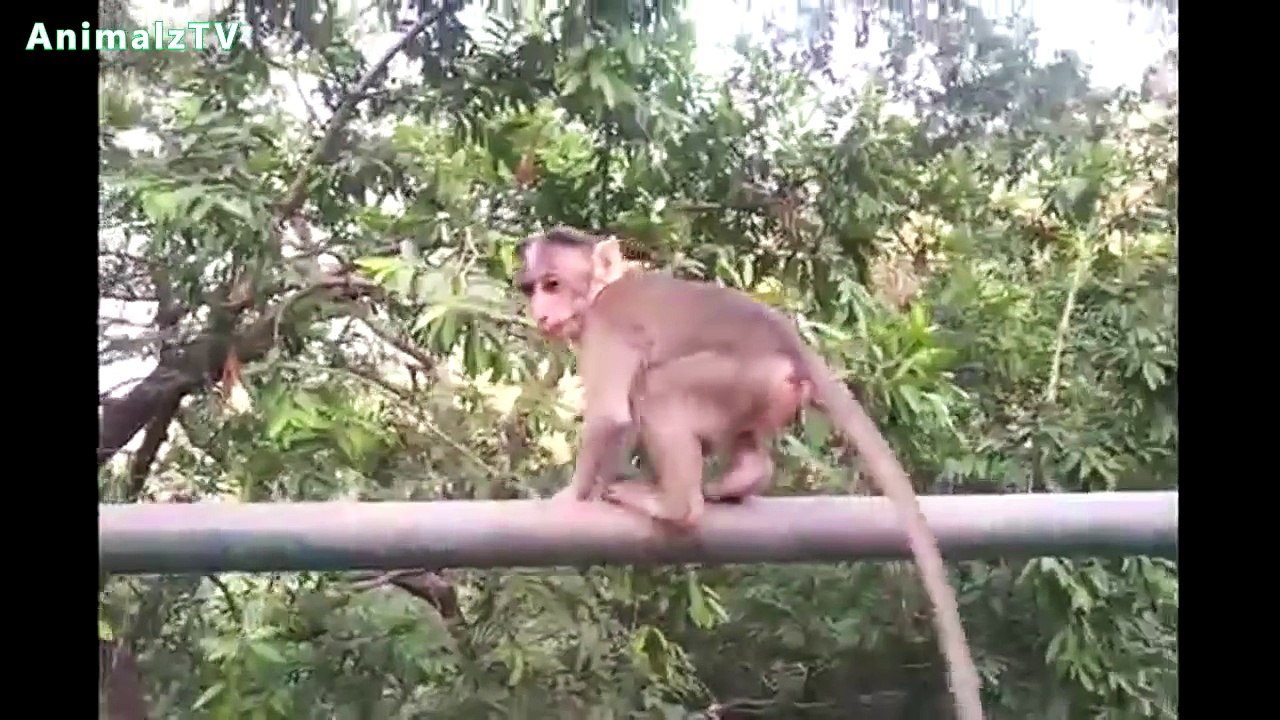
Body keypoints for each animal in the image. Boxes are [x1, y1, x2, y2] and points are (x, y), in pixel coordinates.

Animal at [515, 226, 984, 720]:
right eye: (532, 288)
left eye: (553, 284)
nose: (540, 311)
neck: (604, 289)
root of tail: (787, 341)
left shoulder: (606, 325)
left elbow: (611, 415)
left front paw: (573, 495)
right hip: (762, 390)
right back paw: (744, 476)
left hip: (732, 375)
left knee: (656, 390)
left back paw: (675, 504)